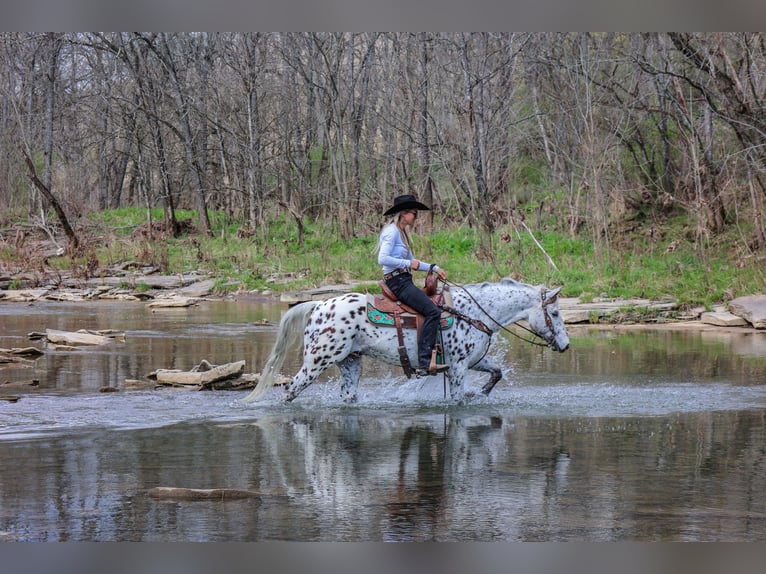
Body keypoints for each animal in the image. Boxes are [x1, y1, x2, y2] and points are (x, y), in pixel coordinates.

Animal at [243, 278, 572, 404]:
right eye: (555, 313)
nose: (566, 345)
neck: (473, 313)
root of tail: (319, 306)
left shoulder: (472, 361)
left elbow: (496, 373)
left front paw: (481, 393)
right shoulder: (457, 367)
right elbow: (456, 399)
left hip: (350, 363)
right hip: (317, 361)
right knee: (291, 390)